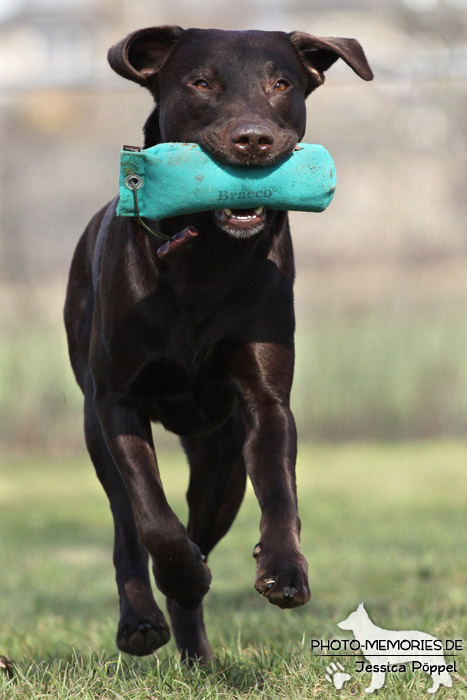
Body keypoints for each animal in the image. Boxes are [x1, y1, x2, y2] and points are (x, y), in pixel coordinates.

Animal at [65, 26, 372, 660]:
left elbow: (280, 490)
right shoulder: (117, 402)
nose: (253, 139)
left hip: (220, 464)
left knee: (202, 525)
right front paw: (179, 574)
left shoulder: (265, 400)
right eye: (202, 83)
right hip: (94, 428)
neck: (205, 254)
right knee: (127, 526)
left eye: (281, 84)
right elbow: (151, 515)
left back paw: (197, 652)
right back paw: (142, 619)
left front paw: (284, 570)